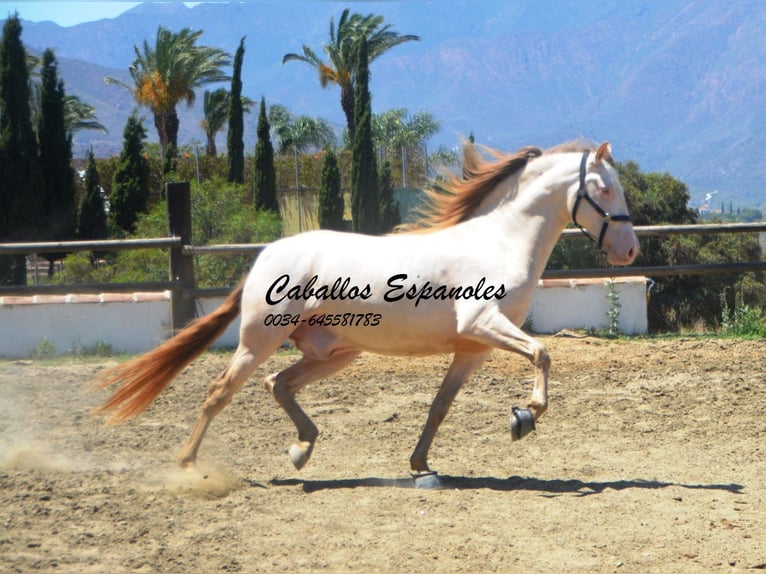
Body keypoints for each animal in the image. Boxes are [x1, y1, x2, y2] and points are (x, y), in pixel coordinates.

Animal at [91, 140, 640, 490]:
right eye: (604, 189)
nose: (630, 250)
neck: (500, 242)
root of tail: (266, 256)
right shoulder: (483, 325)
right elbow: (543, 354)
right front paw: (524, 418)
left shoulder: (473, 350)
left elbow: (440, 406)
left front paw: (423, 465)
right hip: (259, 340)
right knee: (219, 392)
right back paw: (189, 467)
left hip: (336, 352)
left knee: (277, 384)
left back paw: (302, 448)